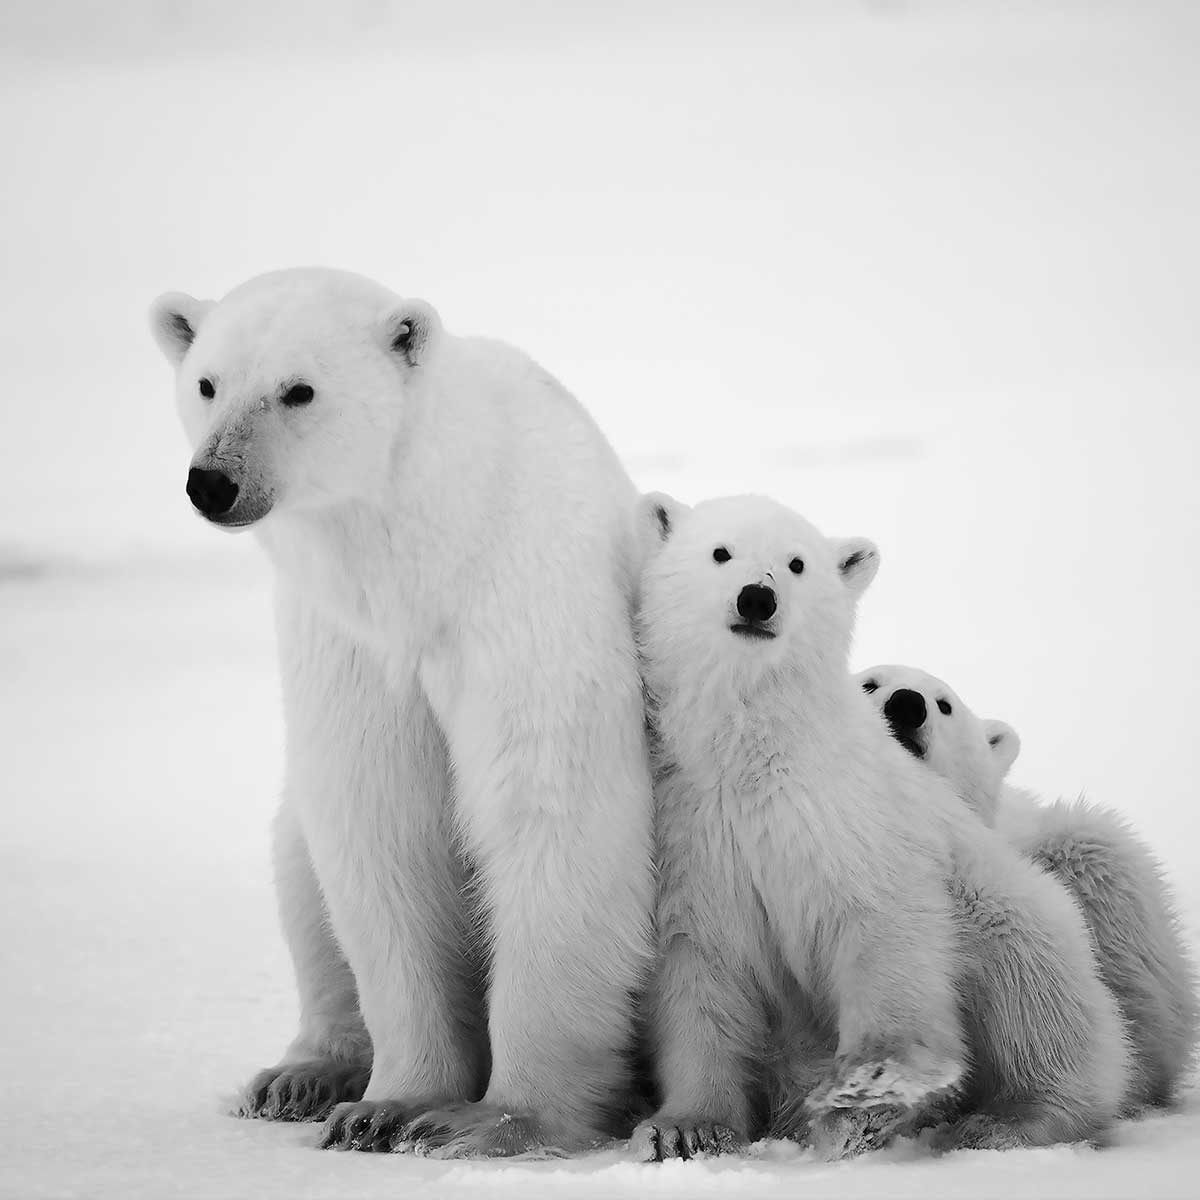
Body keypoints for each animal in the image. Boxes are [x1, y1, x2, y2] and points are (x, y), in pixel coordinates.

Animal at [152, 270, 657, 1152]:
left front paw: (496, 1119)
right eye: (208, 382)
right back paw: (301, 1074)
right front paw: (386, 1107)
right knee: (298, 864)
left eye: (298, 389)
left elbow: (551, 810)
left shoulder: (525, 598)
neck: (426, 551)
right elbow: (379, 822)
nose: (213, 481)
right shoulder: (348, 641)